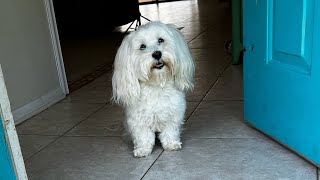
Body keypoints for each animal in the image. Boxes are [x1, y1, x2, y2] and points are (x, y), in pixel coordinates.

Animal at [111, 21, 194, 158]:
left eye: (161, 40)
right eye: (142, 47)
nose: (157, 53)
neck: (157, 84)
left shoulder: (174, 113)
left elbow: (170, 130)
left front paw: (171, 144)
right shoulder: (137, 119)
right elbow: (143, 135)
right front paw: (143, 149)